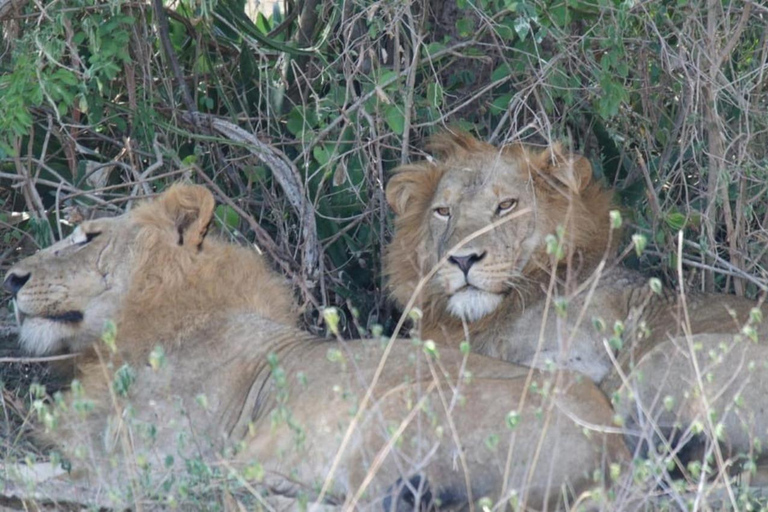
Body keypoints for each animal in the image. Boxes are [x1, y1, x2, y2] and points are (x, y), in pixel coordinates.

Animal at [3, 186, 624, 510]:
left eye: (89, 237)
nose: (10, 277)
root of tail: (612, 451)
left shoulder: (149, 466)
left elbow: (57, 480)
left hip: (392, 407)